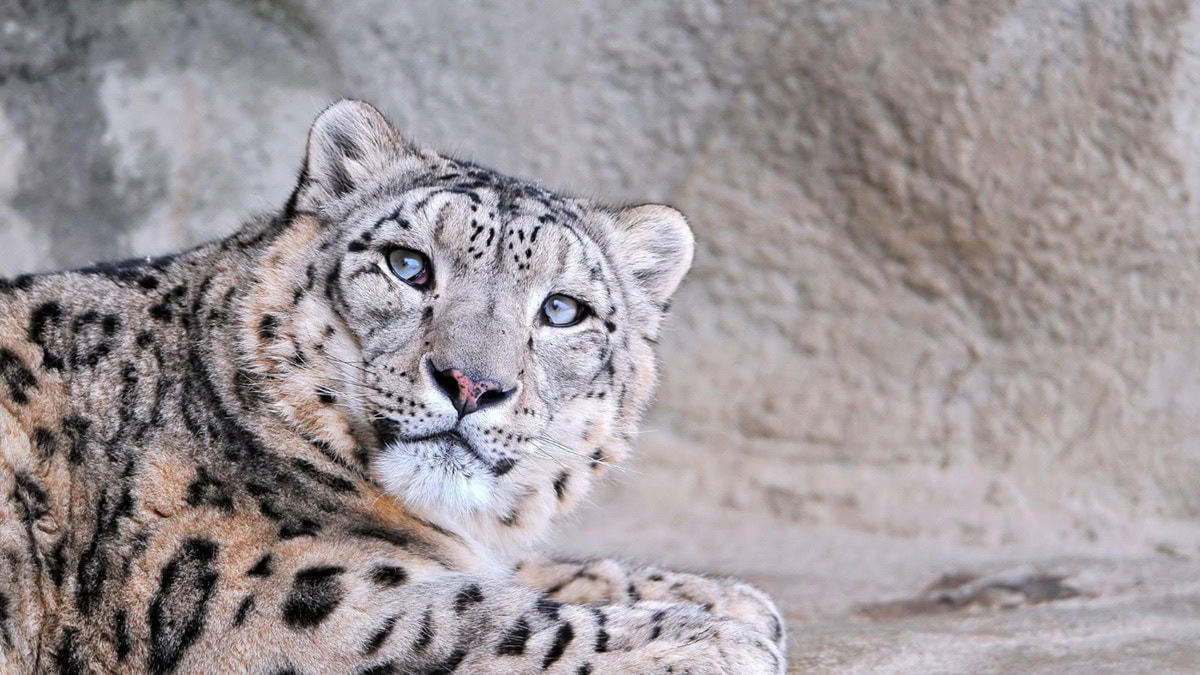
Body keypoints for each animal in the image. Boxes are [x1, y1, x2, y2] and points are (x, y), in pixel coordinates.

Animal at [0, 100, 786, 674]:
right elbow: (484, 620)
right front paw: (718, 640)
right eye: (409, 265)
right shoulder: (287, 603)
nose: (471, 383)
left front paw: (728, 600)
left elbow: (528, 575)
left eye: (563, 310)